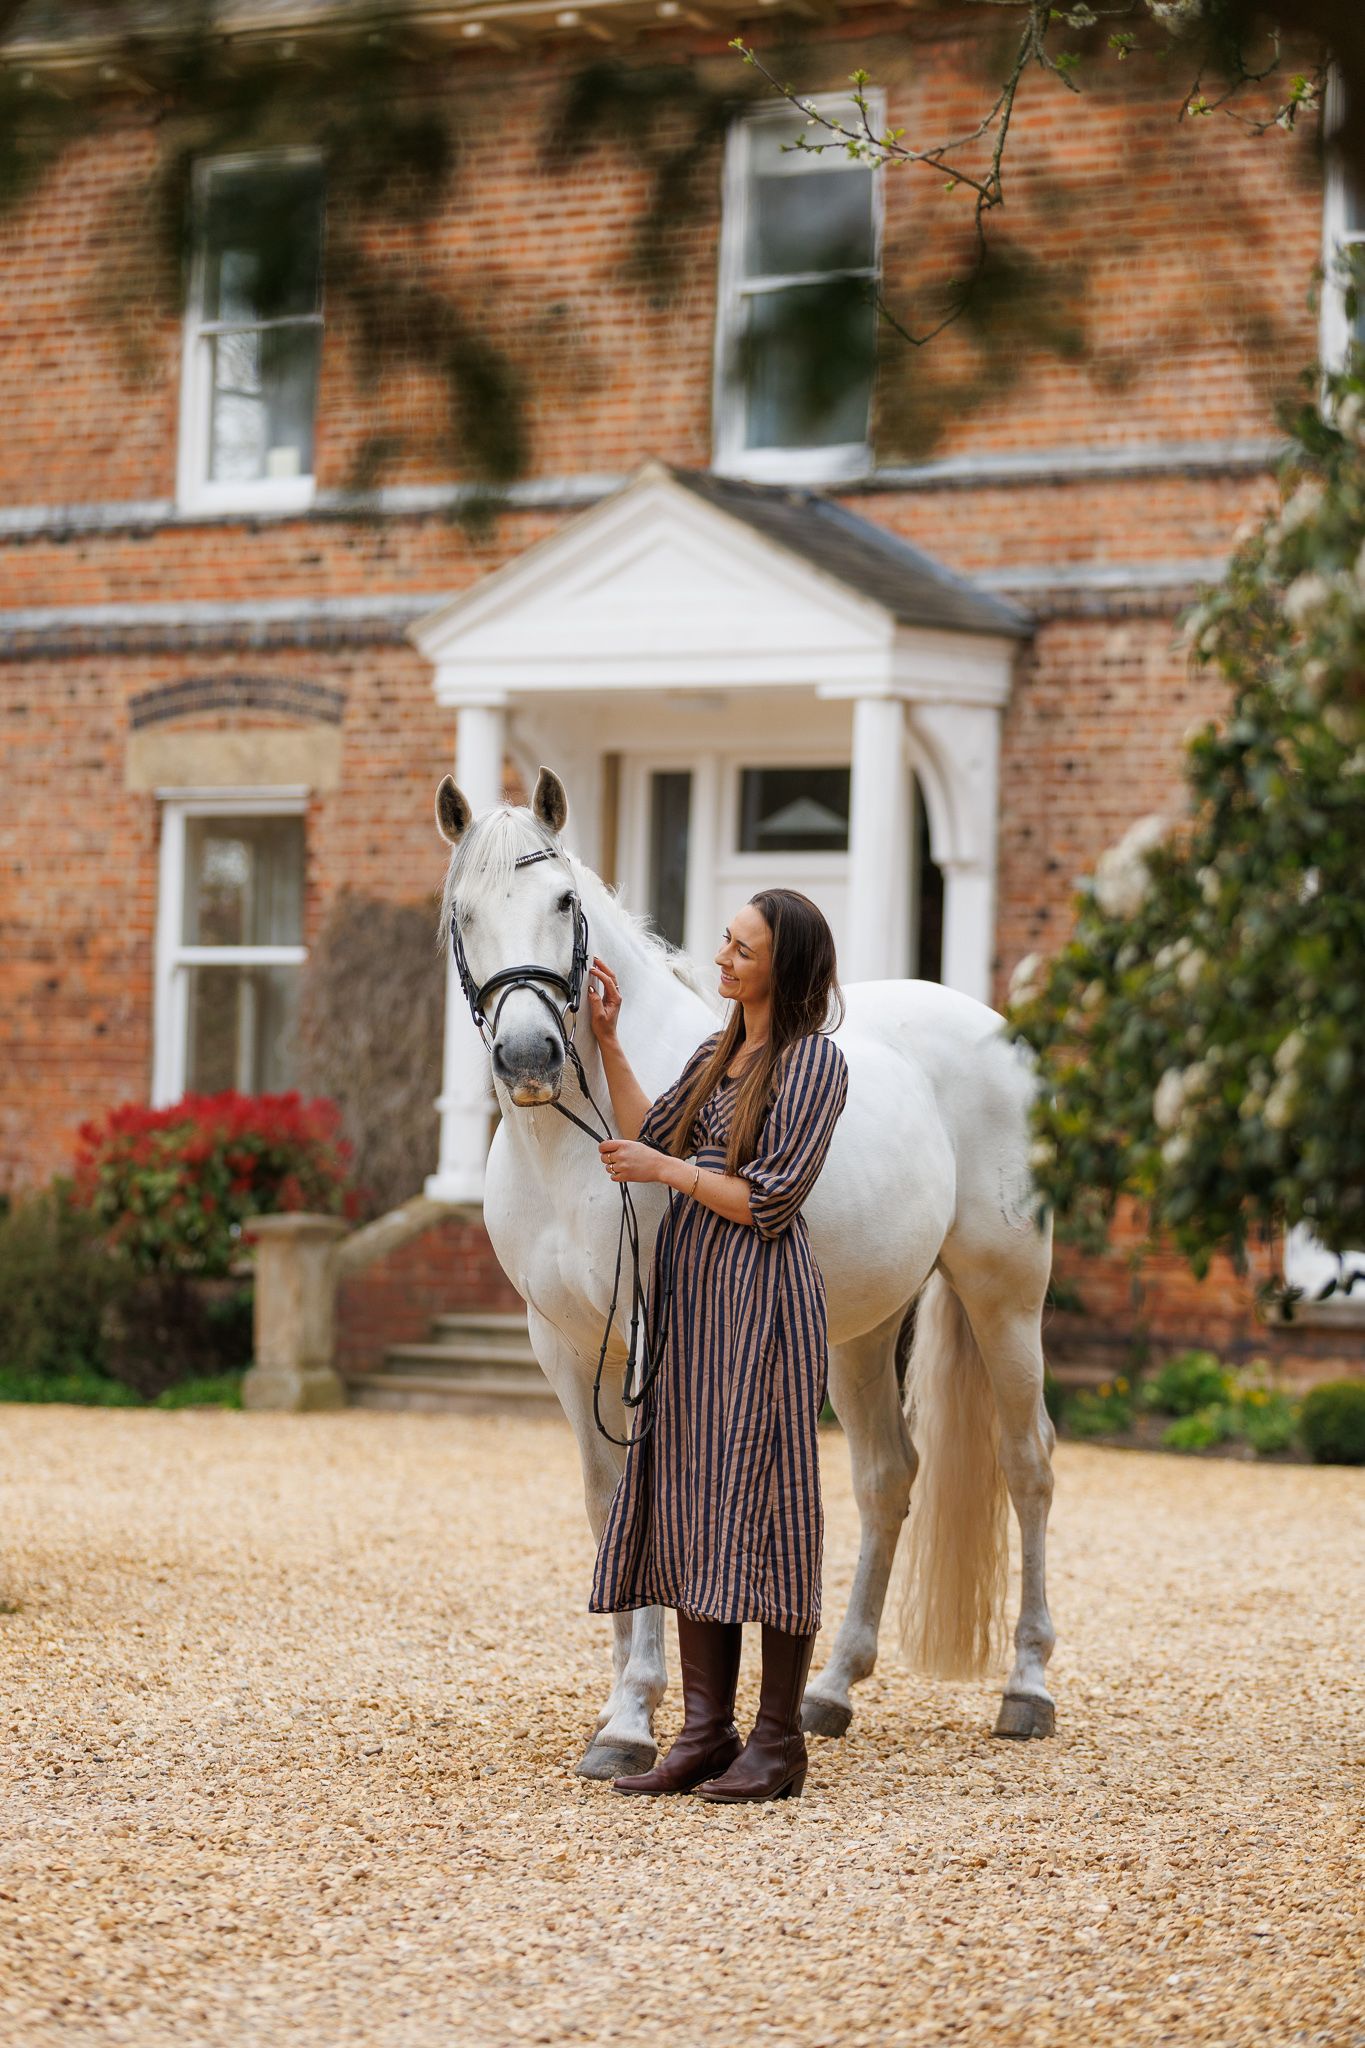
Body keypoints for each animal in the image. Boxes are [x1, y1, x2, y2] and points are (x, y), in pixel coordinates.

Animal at [436, 764, 1057, 1779]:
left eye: (564, 901)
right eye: (463, 912)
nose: (528, 1058)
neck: (572, 1146)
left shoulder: (649, 1330)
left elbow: (649, 1497)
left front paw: (630, 1721)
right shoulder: (563, 1347)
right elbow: (606, 1503)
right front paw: (620, 1705)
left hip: (1004, 1297)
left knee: (1027, 1464)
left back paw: (1027, 1690)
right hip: (860, 1331)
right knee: (887, 1477)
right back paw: (829, 1692)